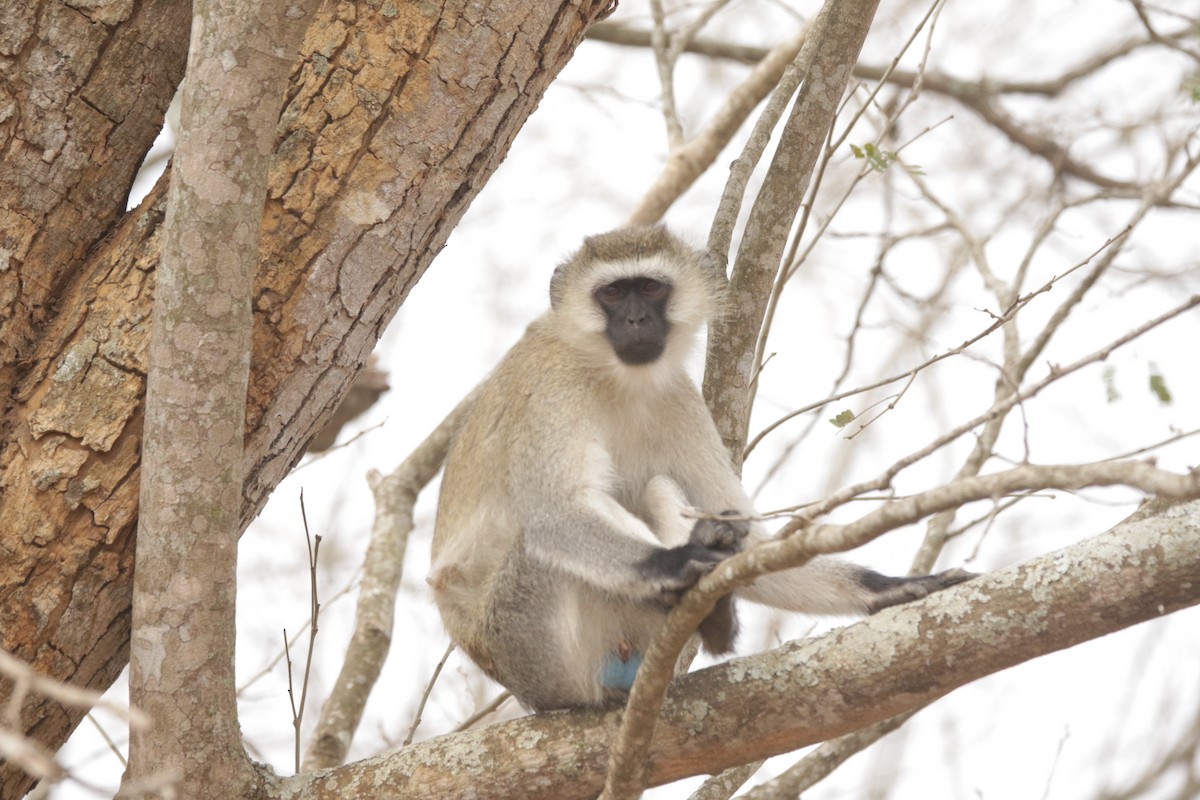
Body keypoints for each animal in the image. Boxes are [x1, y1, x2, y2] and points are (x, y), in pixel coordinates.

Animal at [428, 226, 973, 711]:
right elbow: (554, 515)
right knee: (542, 546)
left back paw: (715, 618)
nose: (636, 320)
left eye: (651, 287)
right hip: (532, 651)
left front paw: (884, 588)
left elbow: (748, 538)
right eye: (612, 293)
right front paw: (674, 563)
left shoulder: (680, 397)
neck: (614, 375)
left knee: (660, 487)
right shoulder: (549, 387)